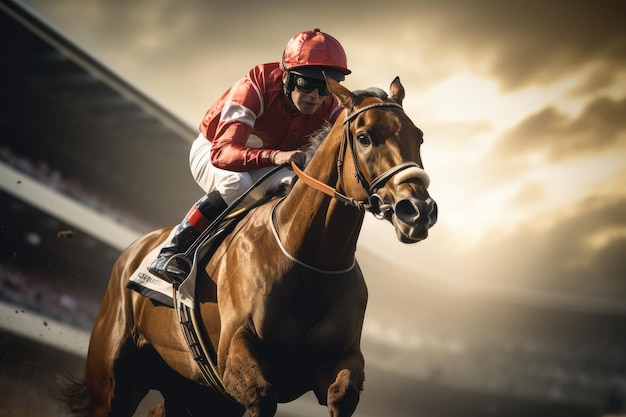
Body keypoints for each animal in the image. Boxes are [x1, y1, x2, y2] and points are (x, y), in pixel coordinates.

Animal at [63, 75, 434, 416]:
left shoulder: (342, 359)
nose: (418, 210)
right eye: (364, 137)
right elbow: (261, 394)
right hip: (114, 383)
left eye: (419, 136)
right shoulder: (236, 356)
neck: (309, 259)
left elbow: (343, 395)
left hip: (192, 390)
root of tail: (134, 249)